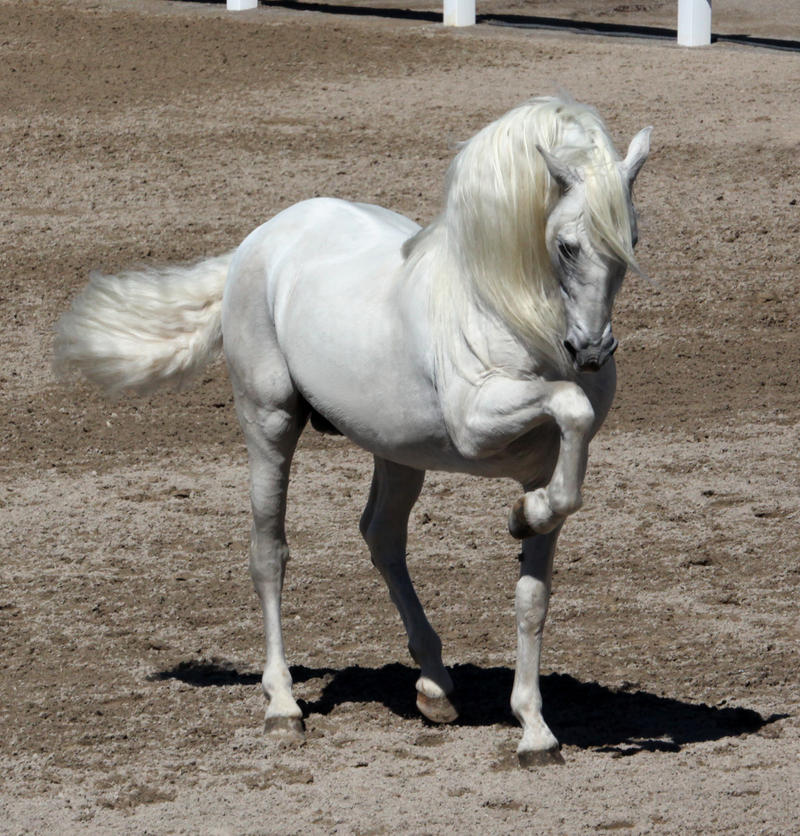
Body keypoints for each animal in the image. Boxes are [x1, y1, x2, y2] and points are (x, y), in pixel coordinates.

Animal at [54, 96, 648, 764]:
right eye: (568, 246)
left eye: (630, 239)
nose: (591, 352)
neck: (509, 309)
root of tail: (257, 242)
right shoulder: (477, 424)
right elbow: (570, 409)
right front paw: (525, 516)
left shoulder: (544, 463)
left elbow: (534, 591)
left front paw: (535, 731)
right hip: (270, 422)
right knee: (270, 553)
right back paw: (283, 706)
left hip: (399, 452)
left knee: (381, 537)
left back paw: (435, 688)